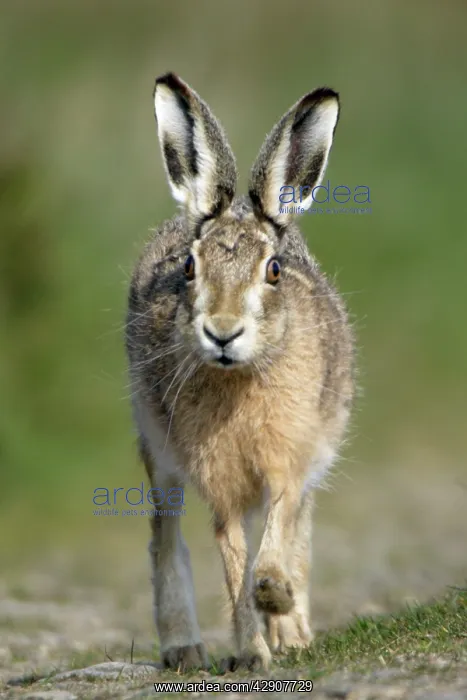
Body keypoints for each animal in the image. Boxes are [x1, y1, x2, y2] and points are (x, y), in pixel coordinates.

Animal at [125, 72, 354, 672]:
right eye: (189, 267)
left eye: (273, 271)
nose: (222, 332)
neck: (239, 378)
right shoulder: (219, 483)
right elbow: (231, 563)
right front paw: (252, 653)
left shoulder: (289, 460)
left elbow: (277, 532)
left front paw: (275, 596)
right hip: (158, 448)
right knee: (165, 535)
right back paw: (184, 647)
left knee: (297, 531)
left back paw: (293, 629)